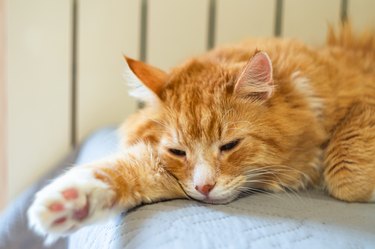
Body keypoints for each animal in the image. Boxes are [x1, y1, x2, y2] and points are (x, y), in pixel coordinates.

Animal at [27, 24, 375, 244]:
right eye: (179, 152)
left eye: (230, 145)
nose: (205, 188)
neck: (304, 96)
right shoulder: (172, 173)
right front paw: (71, 201)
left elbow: (345, 173)